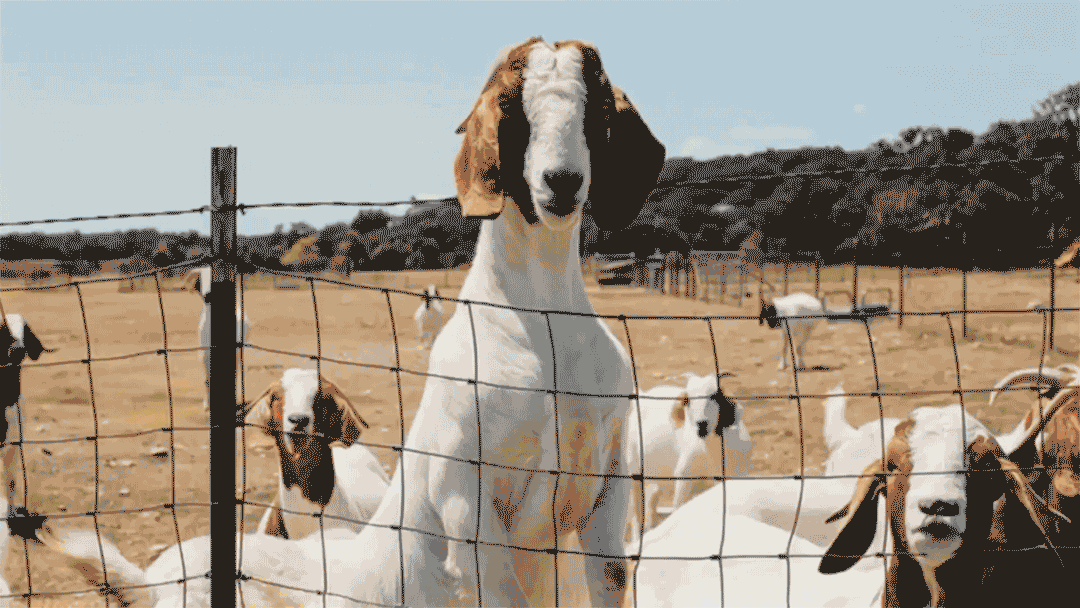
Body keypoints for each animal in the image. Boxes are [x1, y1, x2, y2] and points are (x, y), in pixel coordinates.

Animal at [624, 371, 750, 543]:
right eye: (688, 400)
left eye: (714, 395)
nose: (701, 425)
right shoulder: (683, 477)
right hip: (634, 471)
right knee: (636, 511)